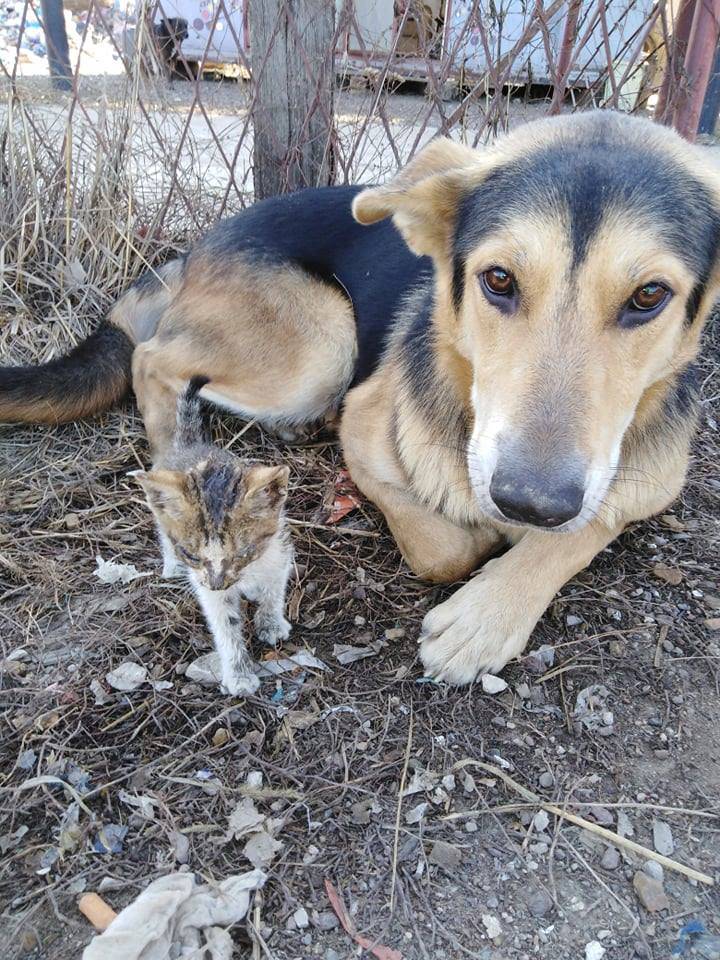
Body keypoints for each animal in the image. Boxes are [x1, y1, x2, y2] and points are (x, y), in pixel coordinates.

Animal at [132, 376, 292, 696]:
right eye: (192, 554)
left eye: (242, 553)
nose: (218, 583)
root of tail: (191, 443)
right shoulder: (208, 588)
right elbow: (226, 626)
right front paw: (239, 675)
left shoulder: (279, 551)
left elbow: (273, 589)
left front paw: (270, 622)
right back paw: (172, 566)